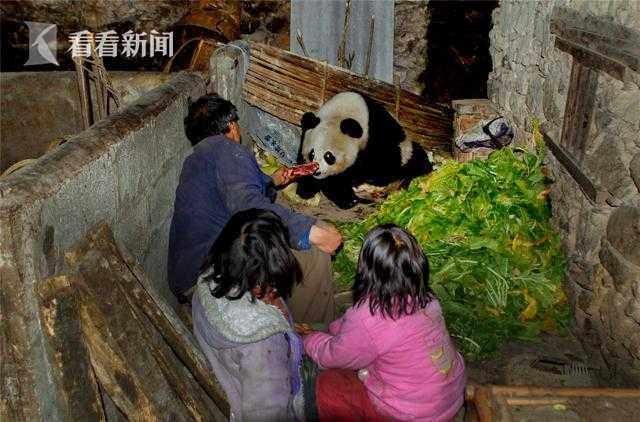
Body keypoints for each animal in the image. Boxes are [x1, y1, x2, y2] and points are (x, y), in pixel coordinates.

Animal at [298, 91, 432, 209]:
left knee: (415, 160)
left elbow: (379, 165)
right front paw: (307, 190)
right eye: (312, 154)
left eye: (329, 156)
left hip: (406, 150)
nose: (317, 172)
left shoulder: (376, 140)